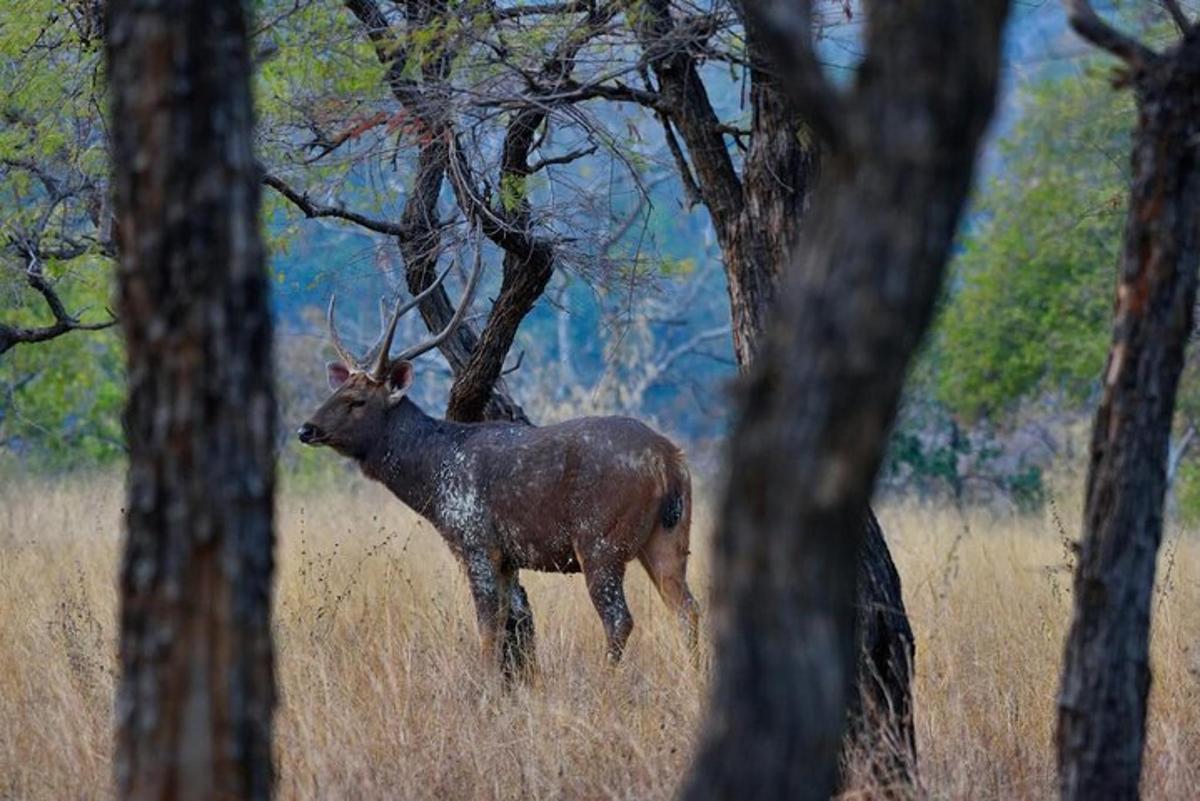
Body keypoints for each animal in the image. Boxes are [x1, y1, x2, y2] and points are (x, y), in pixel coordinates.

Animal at [294, 244, 700, 671]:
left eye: (356, 401)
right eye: (335, 392)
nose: (306, 429)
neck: (434, 481)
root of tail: (670, 460)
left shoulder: (476, 540)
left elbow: (488, 628)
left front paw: (486, 682)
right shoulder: (507, 557)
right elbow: (508, 623)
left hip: (600, 537)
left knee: (620, 619)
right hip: (668, 535)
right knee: (686, 607)